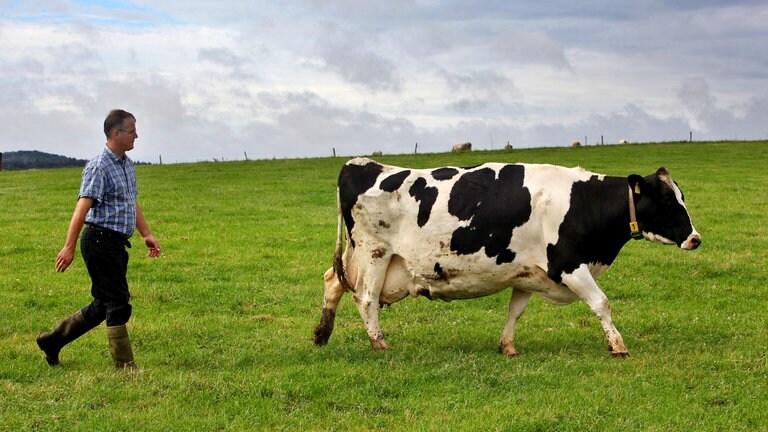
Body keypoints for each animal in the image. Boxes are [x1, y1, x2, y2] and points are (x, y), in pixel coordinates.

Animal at [313, 158, 701, 357]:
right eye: (667, 200)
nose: (695, 238)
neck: (584, 202)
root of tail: (362, 163)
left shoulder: (527, 272)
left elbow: (515, 311)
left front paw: (508, 346)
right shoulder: (568, 264)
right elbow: (601, 303)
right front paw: (618, 345)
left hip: (357, 255)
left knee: (334, 282)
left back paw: (321, 334)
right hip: (375, 252)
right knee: (366, 298)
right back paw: (378, 342)